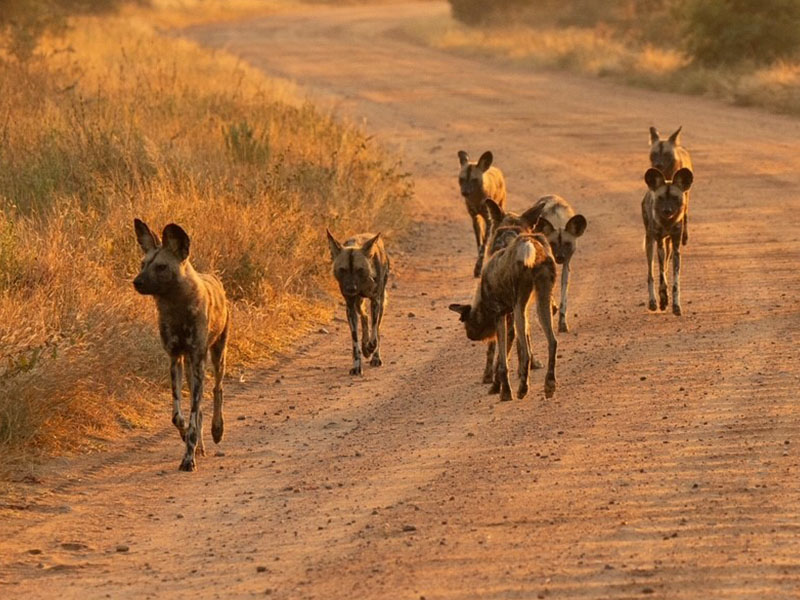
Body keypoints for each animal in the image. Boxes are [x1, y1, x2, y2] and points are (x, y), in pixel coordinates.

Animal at [133, 218, 230, 472]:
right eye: (143, 264)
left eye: (161, 267)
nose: (136, 282)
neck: (176, 307)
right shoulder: (175, 359)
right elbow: (178, 416)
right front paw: (187, 437)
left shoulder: (198, 361)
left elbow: (195, 414)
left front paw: (188, 458)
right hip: (189, 367)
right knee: (201, 410)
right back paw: (201, 446)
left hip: (216, 355)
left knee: (217, 390)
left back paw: (217, 430)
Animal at [324, 230, 390, 376]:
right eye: (342, 269)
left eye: (359, 269)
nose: (351, 289)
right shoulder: (350, 307)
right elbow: (355, 342)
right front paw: (357, 365)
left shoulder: (375, 301)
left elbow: (375, 332)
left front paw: (371, 348)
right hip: (358, 304)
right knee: (364, 317)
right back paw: (365, 347)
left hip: (380, 303)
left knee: (376, 329)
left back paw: (374, 355)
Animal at [446, 213, 560, 400]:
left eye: (466, 323)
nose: (469, 336)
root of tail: (530, 242)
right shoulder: (509, 316)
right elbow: (507, 354)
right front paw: (501, 387)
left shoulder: (500, 316)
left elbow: (501, 362)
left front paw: (503, 390)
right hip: (540, 301)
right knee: (552, 341)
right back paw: (549, 385)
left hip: (520, 307)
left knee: (527, 352)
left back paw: (522, 389)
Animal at [644, 168, 692, 316]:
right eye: (660, 198)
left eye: (675, 198)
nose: (667, 210)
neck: (667, 223)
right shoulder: (659, 244)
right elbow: (661, 275)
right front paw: (663, 299)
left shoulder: (676, 249)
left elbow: (675, 280)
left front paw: (676, 305)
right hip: (650, 243)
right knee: (651, 274)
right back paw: (653, 302)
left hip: (669, 246)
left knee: (665, 266)